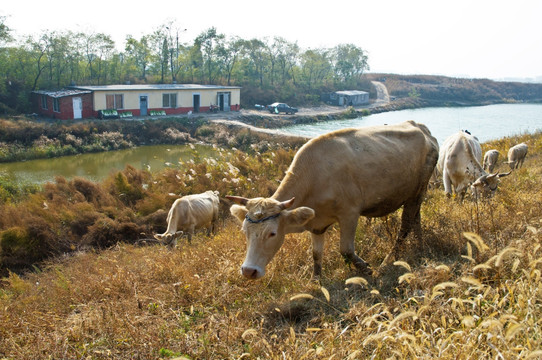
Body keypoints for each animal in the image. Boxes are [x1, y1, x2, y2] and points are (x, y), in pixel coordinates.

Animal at [227, 121, 440, 282]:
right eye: (245, 231)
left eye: (272, 233)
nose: (248, 271)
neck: (314, 176)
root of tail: (420, 126)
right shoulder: (316, 224)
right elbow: (316, 254)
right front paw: (315, 280)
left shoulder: (350, 213)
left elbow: (345, 250)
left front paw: (367, 269)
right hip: (413, 194)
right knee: (415, 219)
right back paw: (420, 249)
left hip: (419, 189)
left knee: (406, 224)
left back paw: (388, 260)